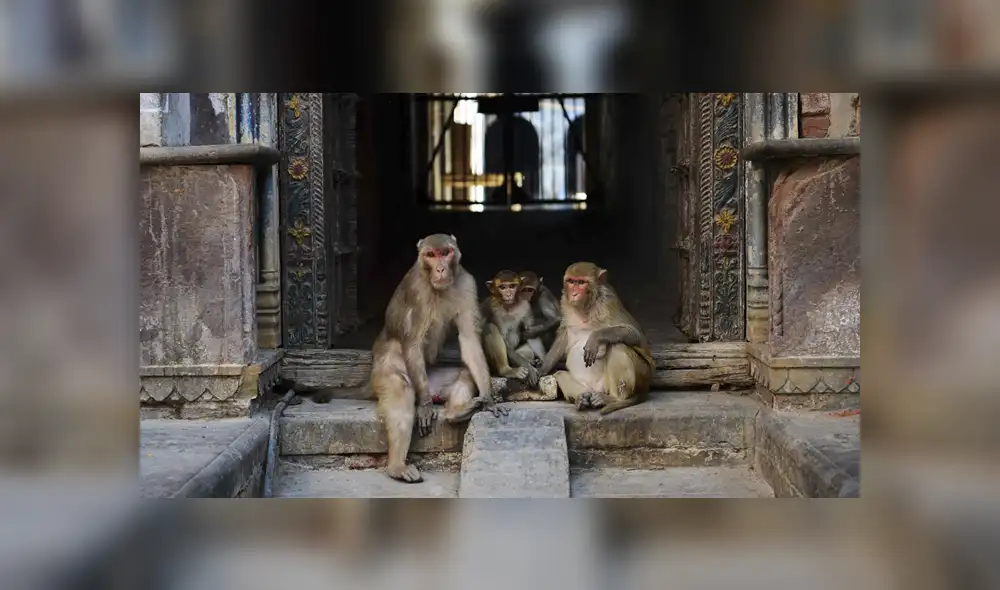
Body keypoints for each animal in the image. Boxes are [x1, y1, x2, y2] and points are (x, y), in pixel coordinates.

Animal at [370, 233, 507, 483]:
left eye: (446, 252)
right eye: (430, 255)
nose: (441, 269)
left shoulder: (467, 283)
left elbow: (470, 342)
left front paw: (489, 399)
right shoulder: (416, 289)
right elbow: (413, 343)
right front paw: (424, 407)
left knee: (465, 372)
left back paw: (457, 411)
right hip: (385, 370)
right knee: (400, 387)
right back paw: (397, 466)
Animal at [536, 262, 656, 415]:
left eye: (581, 283)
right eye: (571, 281)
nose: (574, 294)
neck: (586, 308)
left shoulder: (609, 301)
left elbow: (634, 334)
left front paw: (595, 338)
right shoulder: (565, 304)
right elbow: (563, 336)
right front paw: (543, 368)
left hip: (641, 375)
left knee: (618, 346)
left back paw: (614, 399)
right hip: (588, 387)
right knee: (560, 374)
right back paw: (581, 398)